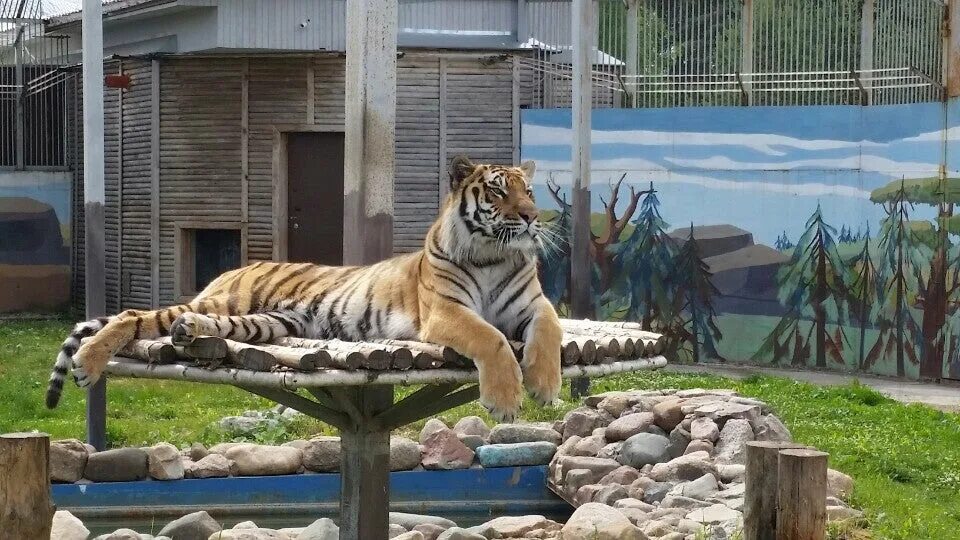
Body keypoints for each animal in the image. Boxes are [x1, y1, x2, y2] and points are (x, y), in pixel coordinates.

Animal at [47, 155, 564, 422]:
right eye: (497, 191)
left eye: (528, 191)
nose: (530, 218)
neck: (494, 255)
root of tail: (236, 268)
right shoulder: (446, 312)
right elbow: (491, 338)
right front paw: (505, 401)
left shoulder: (536, 306)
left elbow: (550, 333)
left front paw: (544, 385)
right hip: (229, 301)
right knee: (131, 316)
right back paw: (90, 361)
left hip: (265, 322)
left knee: (198, 323)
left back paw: (188, 332)